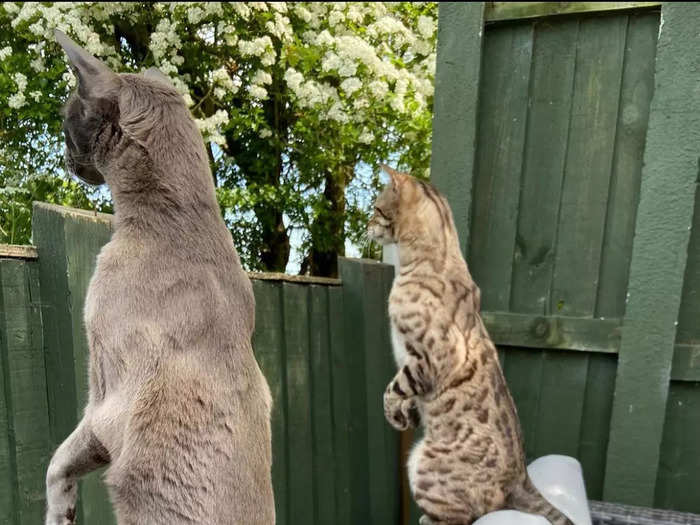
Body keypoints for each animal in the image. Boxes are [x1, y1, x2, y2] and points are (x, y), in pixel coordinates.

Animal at [45, 29, 274, 524]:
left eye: (66, 120)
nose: (65, 154)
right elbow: (59, 464)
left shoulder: (103, 400)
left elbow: (56, 461)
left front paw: (57, 514)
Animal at [370, 167, 572, 524]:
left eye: (377, 209)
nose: (367, 225)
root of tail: (523, 478)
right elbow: (405, 395)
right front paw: (407, 416)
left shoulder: (430, 358)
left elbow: (393, 389)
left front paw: (394, 414)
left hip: (423, 462)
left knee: (463, 516)